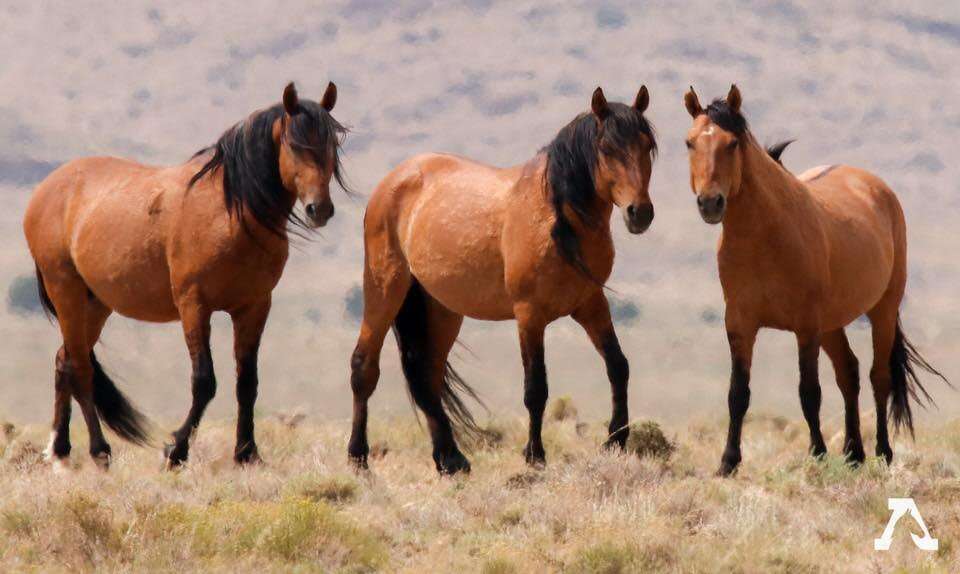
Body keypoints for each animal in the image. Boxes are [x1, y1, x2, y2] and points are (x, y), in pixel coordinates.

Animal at [23, 83, 348, 470]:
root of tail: (47, 187)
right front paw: (175, 450)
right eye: (295, 144)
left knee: (64, 361)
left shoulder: (254, 307)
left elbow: (247, 382)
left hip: (97, 304)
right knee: (79, 369)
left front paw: (247, 453)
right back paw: (99, 451)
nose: (320, 209)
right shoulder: (194, 305)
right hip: (66, 291)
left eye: (333, 144)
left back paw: (59, 450)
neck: (230, 213)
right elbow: (204, 381)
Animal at [348, 85, 656, 472]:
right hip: (385, 290)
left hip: (442, 308)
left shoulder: (591, 304)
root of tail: (393, 181)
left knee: (426, 377)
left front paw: (616, 439)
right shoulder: (529, 314)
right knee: (364, 366)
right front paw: (535, 454)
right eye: (607, 149)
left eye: (647, 146)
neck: (556, 218)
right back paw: (358, 456)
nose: (639, 213)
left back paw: (450, 459)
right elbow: (536, 388)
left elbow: (618, 366)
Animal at [684, 84, 944, 476]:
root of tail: (875, 186)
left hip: (881, 310)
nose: (710, 203)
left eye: (732, 143)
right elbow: (738, 393)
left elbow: (809, 392)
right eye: (689, 143)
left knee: (878, 377)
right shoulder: (740, 325)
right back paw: (853, 453)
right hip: (832, 324)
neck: (764, 237)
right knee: (849, 373)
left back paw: (882, 452)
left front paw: (818, 453)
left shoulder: (806, 327)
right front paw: (728, 462)